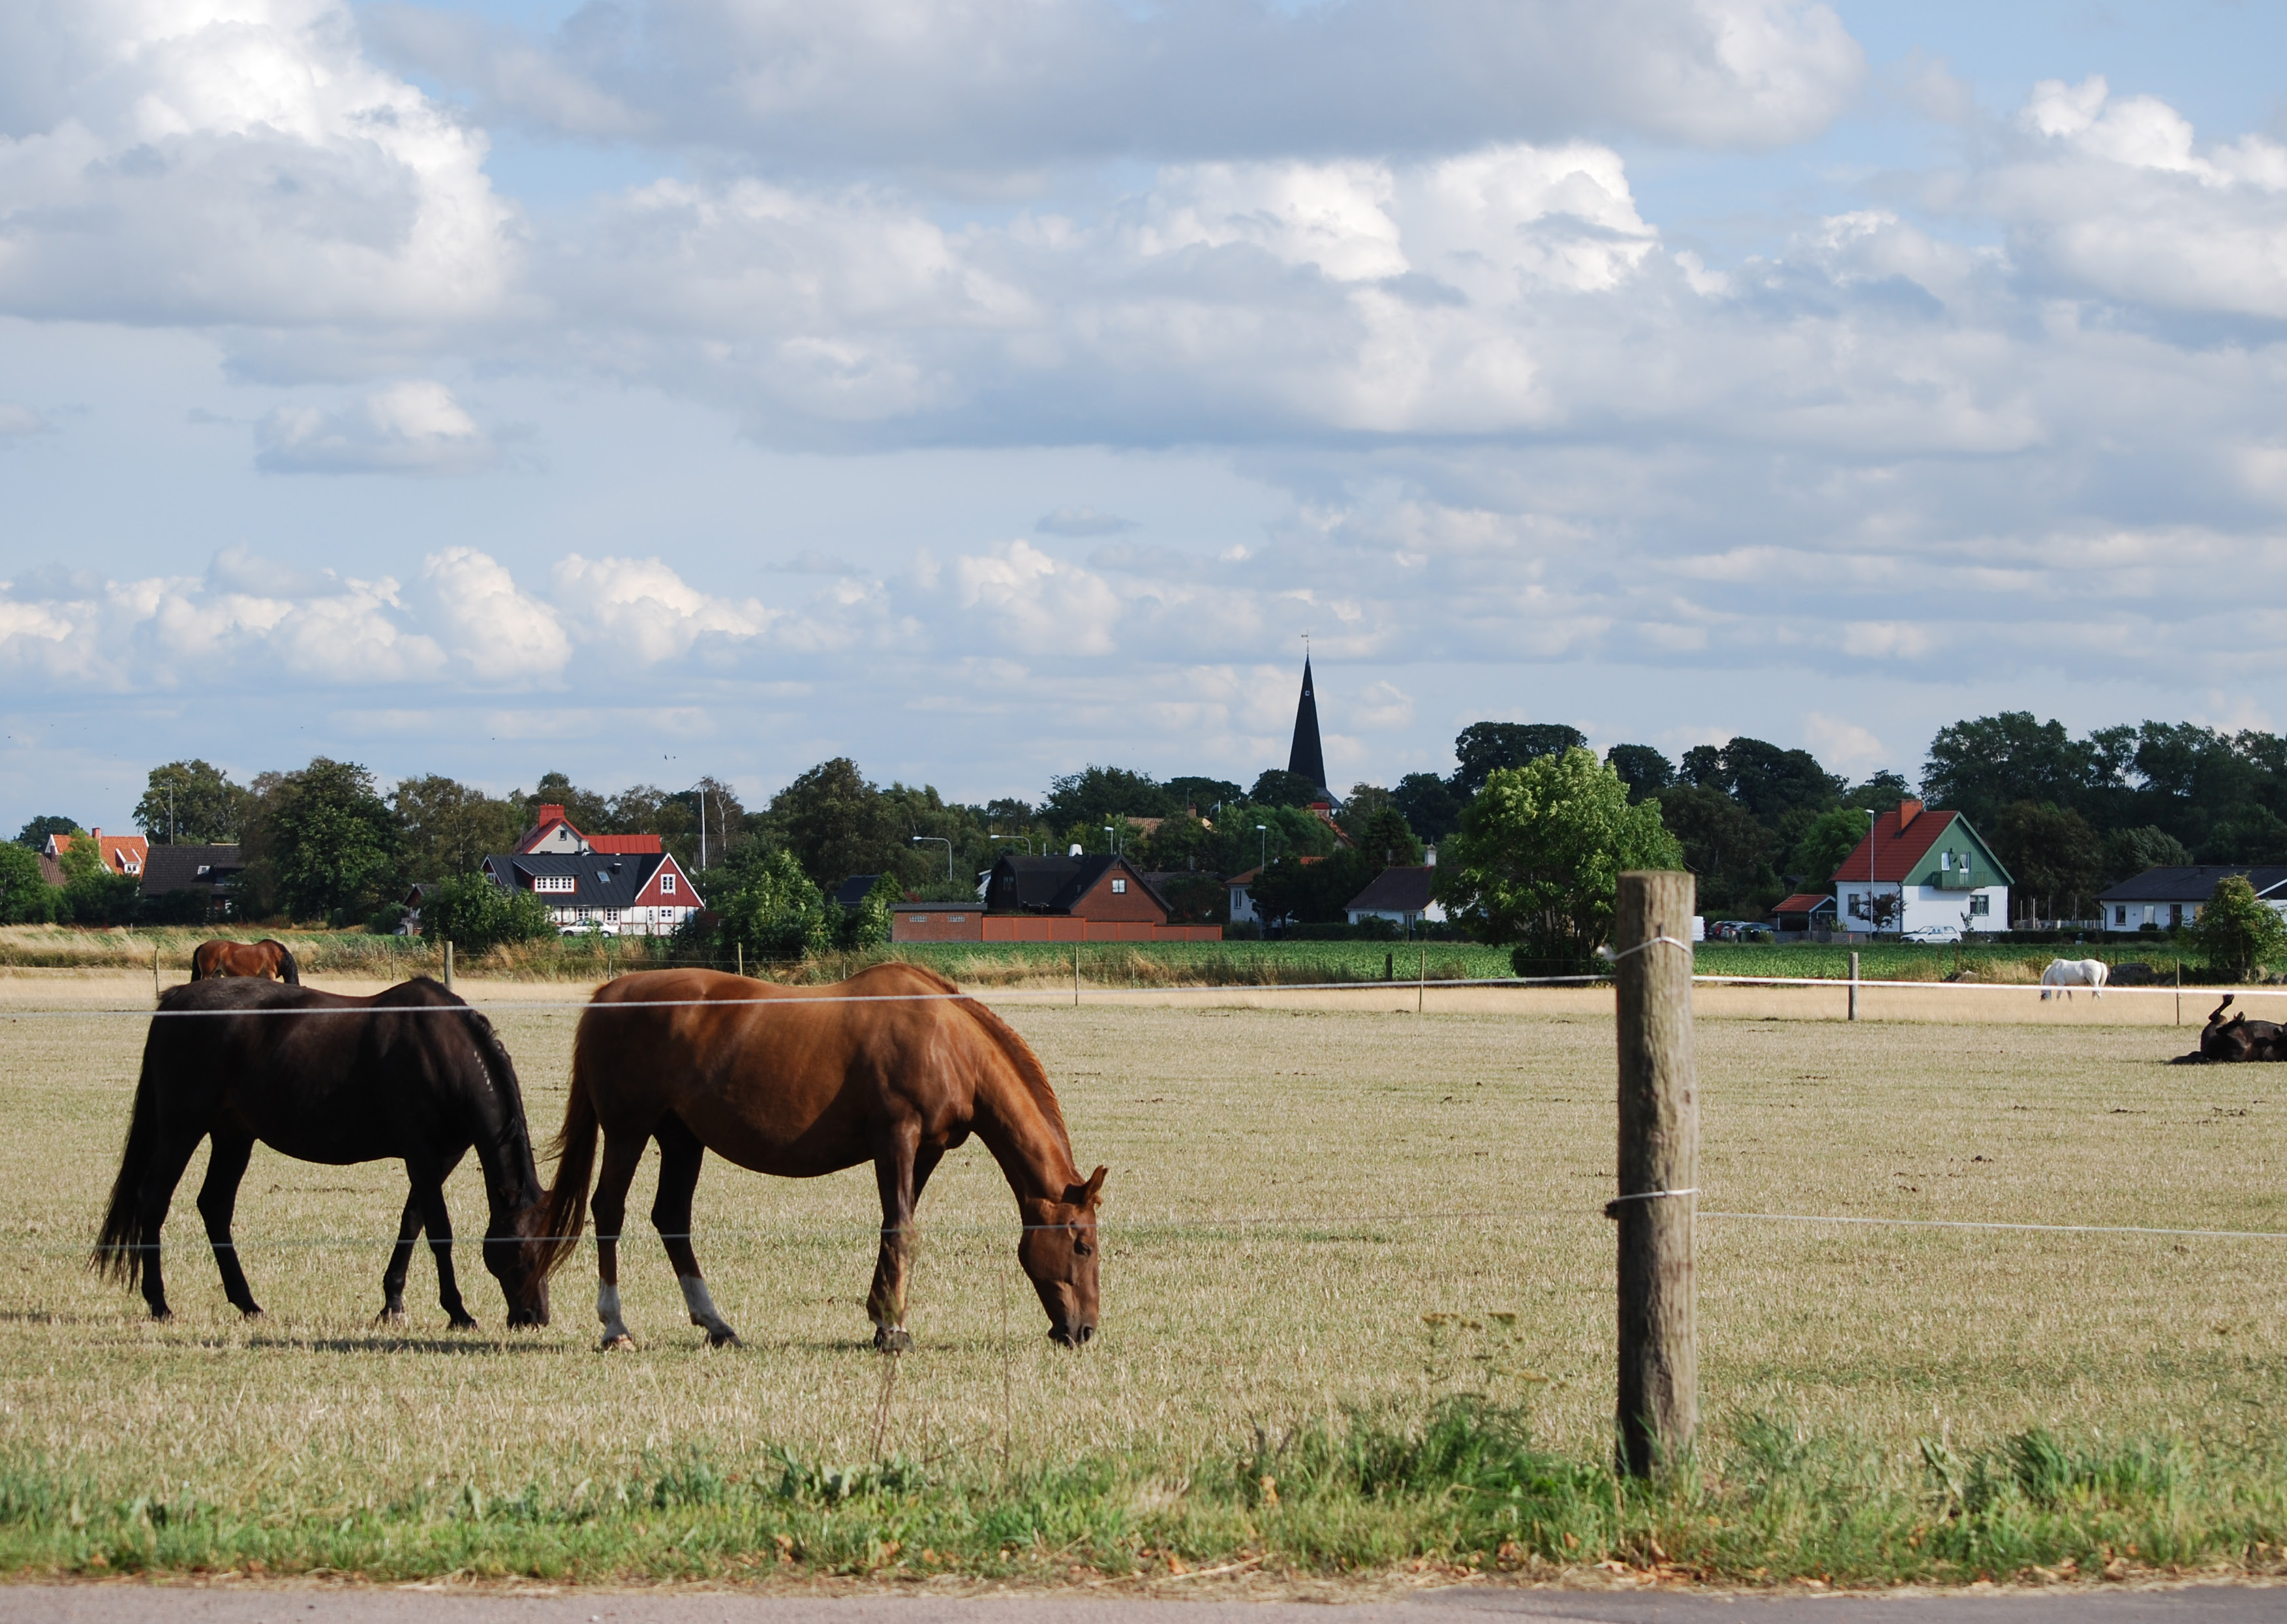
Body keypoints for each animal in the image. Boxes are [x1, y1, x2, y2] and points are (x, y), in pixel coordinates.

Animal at [90, 974, 558, 1326]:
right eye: (520, 1250)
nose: (533, 1317)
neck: (442, 1053)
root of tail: (176, 1000)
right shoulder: (422, 1155)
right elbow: (439, 1231)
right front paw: (458, 1312)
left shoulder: (441, 1158)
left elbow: (411, 1223)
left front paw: (392, 1303)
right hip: (182, 1128)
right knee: (154, 1202)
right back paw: (159, 1302)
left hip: (233, 1135)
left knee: (215, 1206)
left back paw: (247, 1302)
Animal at [535, 960, 1107, 1354]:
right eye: (1082, 1246)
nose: (1083, 1330)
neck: (948, 1041)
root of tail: (608, 996)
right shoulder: (896, 1138)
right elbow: (901, 1228)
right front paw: (894, 1328)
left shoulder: (925, 1150)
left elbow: (895, 1226)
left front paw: (882, 1319)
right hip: (628, 1130)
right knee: (609, 1211)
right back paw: (615, 1327)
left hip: (680, 1137)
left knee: (672, 1218)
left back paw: (716, 1325)